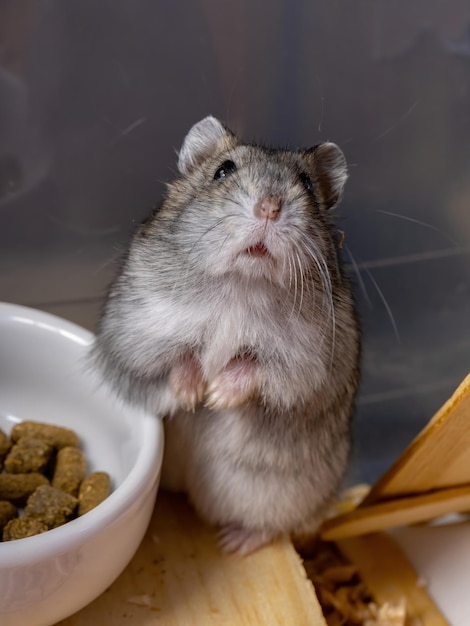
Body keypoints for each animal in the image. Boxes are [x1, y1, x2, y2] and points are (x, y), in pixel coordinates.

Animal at [93, 114, 362, 552]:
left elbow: (255, 367)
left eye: (306, 183)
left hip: (286, 496)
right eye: (224, 170)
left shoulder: (308, 365)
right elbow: (182, 355)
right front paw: (193, 397)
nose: (269, 207)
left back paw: (235, 542)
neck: (243, 282)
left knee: (277, 525)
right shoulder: (140, 327)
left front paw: (216, 396)